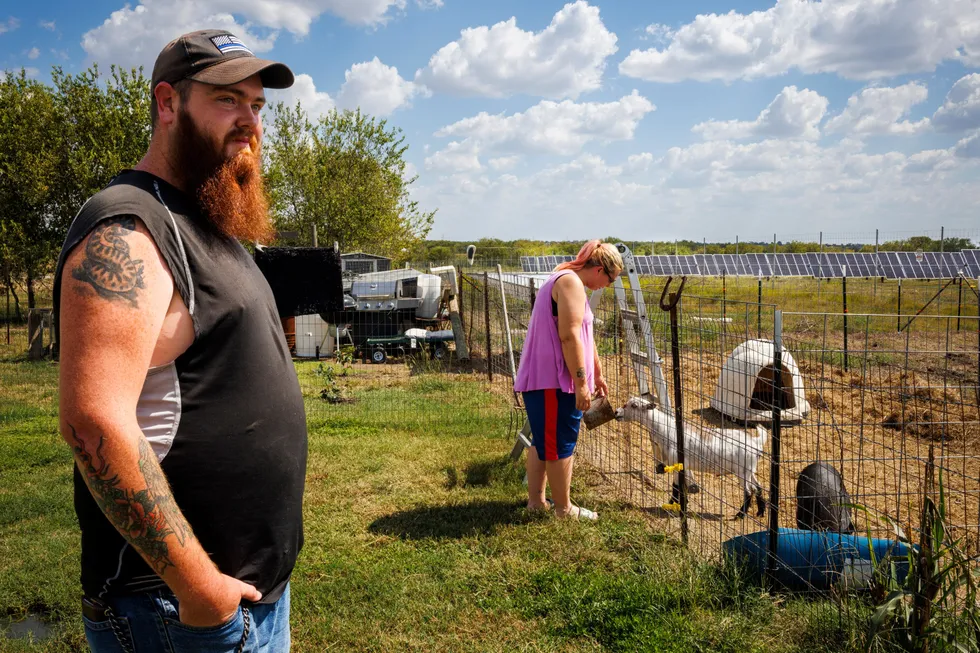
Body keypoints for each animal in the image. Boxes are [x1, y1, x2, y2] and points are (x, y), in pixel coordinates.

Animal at [616, 394, 768, 516]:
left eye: (634, 405)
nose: (617, 412)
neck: (665, 429)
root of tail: (755, 442)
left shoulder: (678, 463)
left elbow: (676, 487)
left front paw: (672, 505)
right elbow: (680, 487)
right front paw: (681, 504)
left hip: (742, 471)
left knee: (749, 491)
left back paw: (740, 515)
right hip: (749, 469)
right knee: (758, 487)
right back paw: (760, 512)